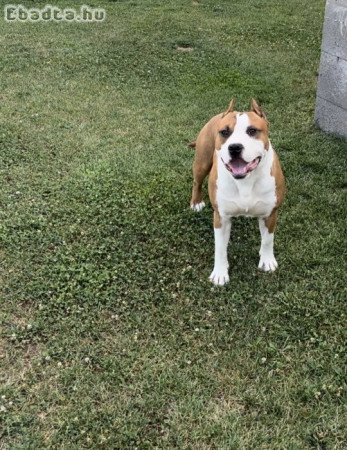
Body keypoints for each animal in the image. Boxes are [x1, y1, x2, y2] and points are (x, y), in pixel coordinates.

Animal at [190, 100, 286, 286]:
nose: (234, 147)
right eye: (225, 132)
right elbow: (220, 248)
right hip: (202, 161)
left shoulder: (271, 213)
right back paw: (196, 202)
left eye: (252, 131)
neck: (245, 181)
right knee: (197, 182)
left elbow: (267, 240)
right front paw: (220, 272)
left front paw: (267, 260)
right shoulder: (221, 217)